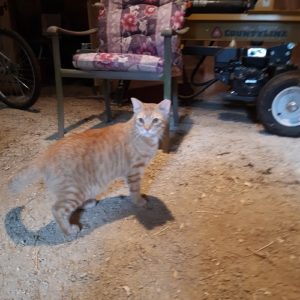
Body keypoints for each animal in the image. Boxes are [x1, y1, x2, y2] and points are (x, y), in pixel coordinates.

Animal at [8, 98, 170, 234]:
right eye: (141, 120)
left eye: (155, 120)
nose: (147, 128)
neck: (141, 136)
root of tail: (48, 152)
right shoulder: (134, 172)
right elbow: (135, 191)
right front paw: (139, 202)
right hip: (74, 191)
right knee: (57, 209)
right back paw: (68, 230)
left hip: (89, 187)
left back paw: (87, 204)